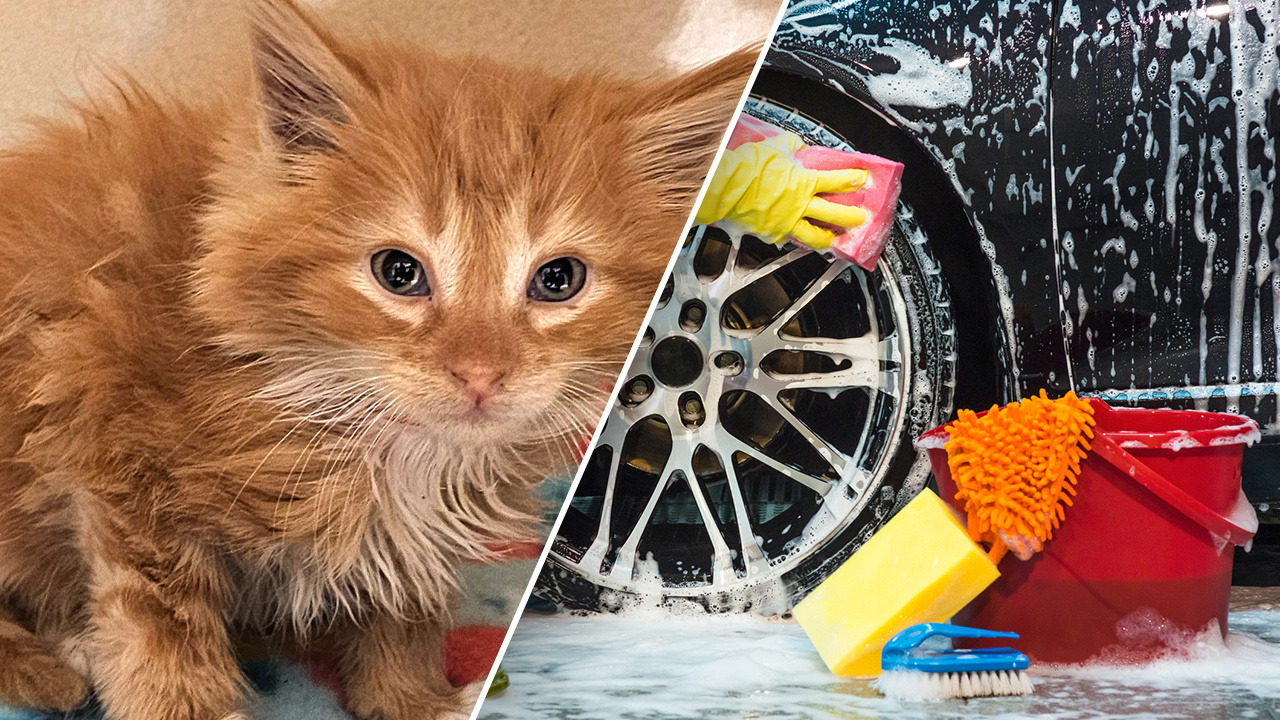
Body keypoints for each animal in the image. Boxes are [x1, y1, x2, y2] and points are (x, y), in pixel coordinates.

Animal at [0, 2, 747, 712]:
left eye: (559, 279)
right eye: (398, 272)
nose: (479, 374)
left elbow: (403, 605)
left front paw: (411, 700)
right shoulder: (114, 451)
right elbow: (158, 637)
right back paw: (48, 663)